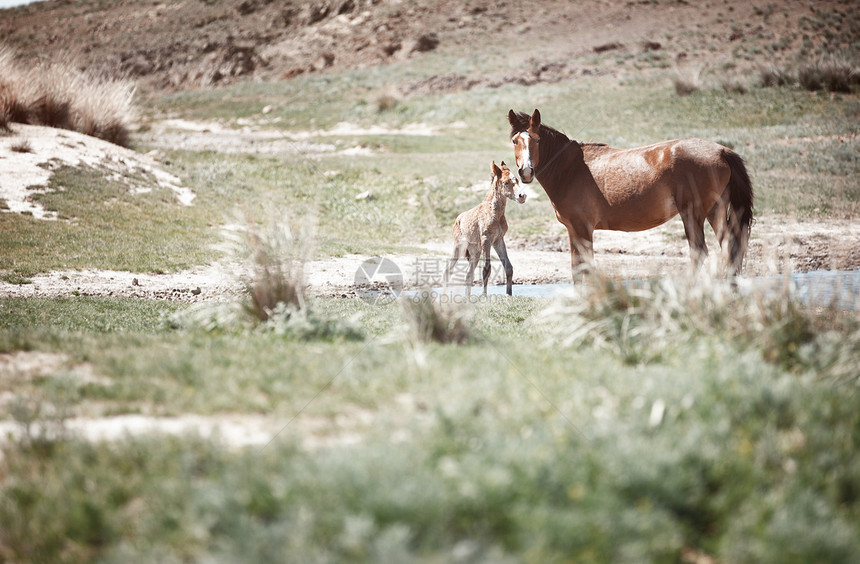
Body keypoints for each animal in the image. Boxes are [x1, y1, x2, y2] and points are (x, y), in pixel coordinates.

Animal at [510, 108, 752, 280]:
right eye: (515, 141)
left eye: (537, 140)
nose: (526, 172)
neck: (571, 168)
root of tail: (722, 151)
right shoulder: (573, 230)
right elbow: (577, 268)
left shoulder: (582, 229)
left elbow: (584, 267)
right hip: (714, 210)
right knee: (729, 245)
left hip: (693, 214)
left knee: (699, 251)